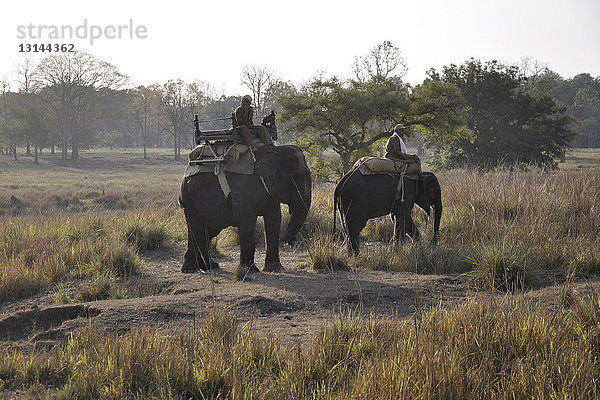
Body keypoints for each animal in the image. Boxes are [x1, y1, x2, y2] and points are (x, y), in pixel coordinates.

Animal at [179, 145, 312, 274]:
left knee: (209, 230)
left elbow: (274, 219)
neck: (274, 150)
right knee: (197, 228)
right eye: (293, 180)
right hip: (188, 197)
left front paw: (275, 269)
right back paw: (190, 269)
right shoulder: (242, 188)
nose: (290, 240)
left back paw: (208, 266)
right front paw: (250, 270)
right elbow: (247, 222)